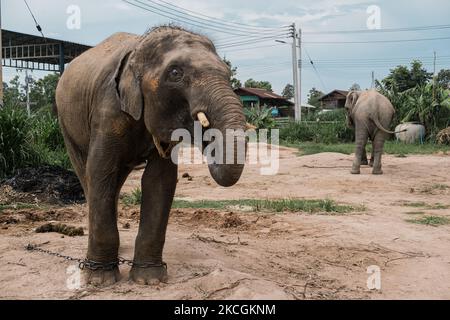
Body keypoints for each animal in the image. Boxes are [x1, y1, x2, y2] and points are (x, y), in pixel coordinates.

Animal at [56, 27, 248, 286]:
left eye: (228, 73)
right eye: (175, 73)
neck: (139, 47)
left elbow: (159, 180)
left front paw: (149, 280)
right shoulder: (107, 109)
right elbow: (100, 171)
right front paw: (100, 280)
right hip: (66, 125)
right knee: (88, 176)